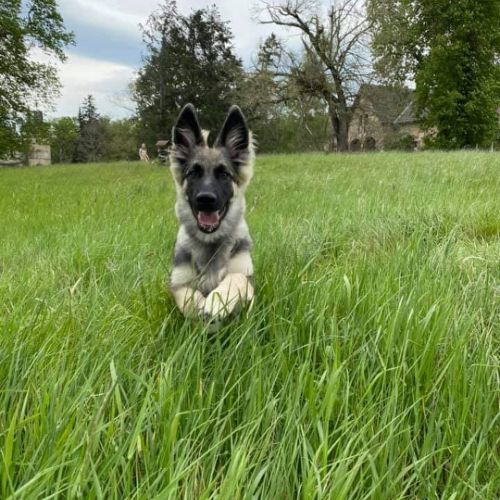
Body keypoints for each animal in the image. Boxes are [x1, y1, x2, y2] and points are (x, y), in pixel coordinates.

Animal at [169, 104, 255, 321]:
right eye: (193, 173)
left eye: (224, 174)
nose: (206, 199)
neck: (210, 241)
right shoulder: (178, 283)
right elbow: (187, 297)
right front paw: (199, 307)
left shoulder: (248, 280)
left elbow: (236, 277)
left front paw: (216, 302)